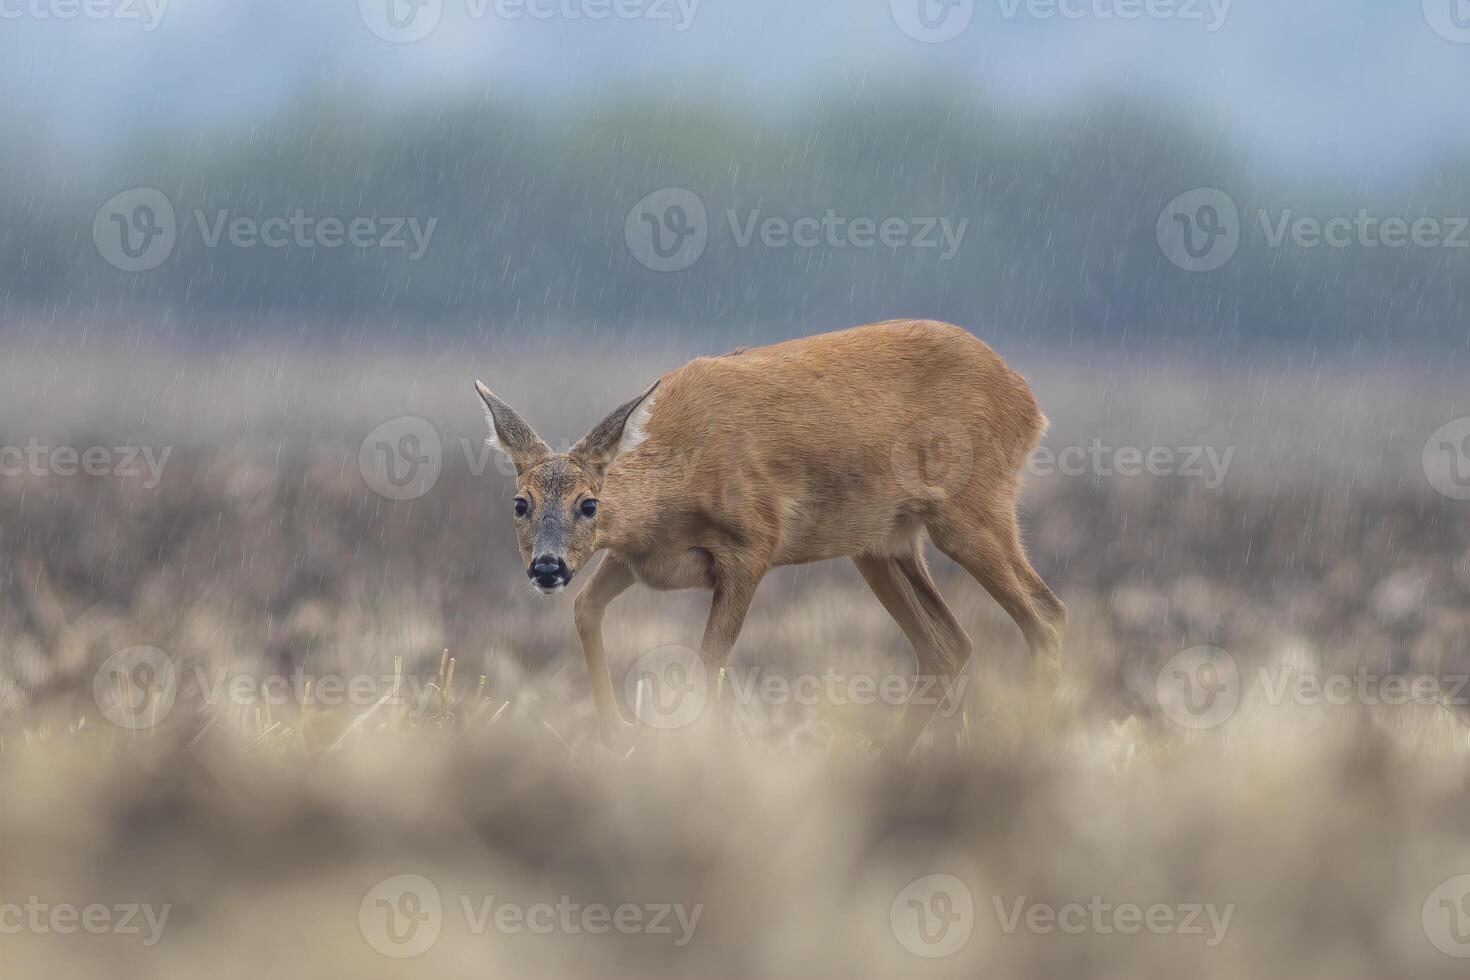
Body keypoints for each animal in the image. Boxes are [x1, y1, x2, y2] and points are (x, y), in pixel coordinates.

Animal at [476, 318, 1064, 758]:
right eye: (520, 504)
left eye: (588, 504)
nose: (547, 568)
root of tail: (1030, 403)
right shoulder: (634, 558)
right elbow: (585, 610)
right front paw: (617, 736)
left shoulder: (752, 544)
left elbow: (708, 664)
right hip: (882, 543)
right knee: (949, 645)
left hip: (971, 509)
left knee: (1045, 616)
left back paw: (1032, 747)